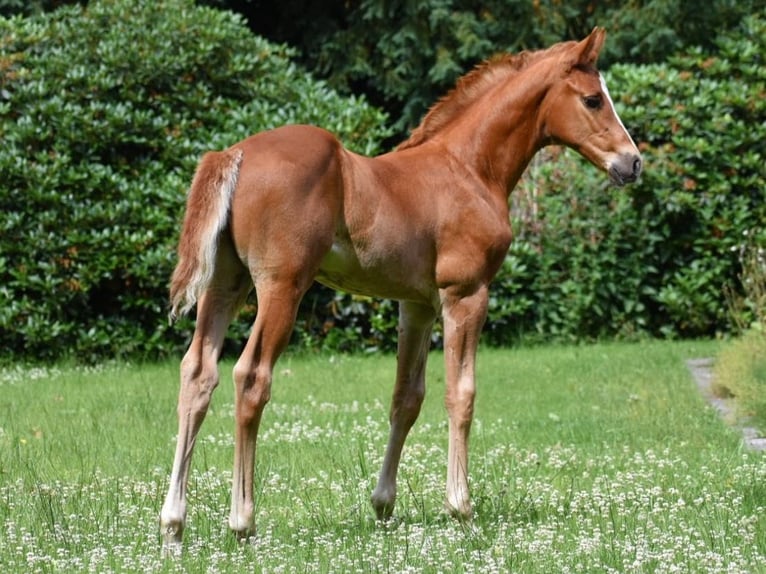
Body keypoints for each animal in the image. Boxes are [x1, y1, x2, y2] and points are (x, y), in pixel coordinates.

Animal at [159, 27, 642, 552]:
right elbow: (461, 393)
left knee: (197, 374)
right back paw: (242, 521)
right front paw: (461, 509)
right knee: (251, 377)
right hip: (281, 286)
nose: (633, 163)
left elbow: (405, 399)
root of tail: (235, 155)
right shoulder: (465, 294)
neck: (469, 168)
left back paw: (173, 524)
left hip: (225, 283)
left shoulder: (416, 306)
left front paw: (383, 505)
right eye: (594, 99)